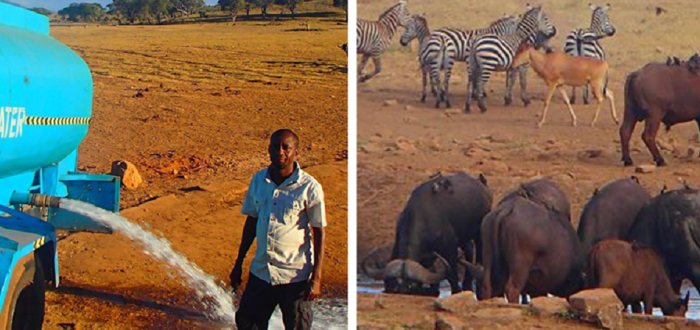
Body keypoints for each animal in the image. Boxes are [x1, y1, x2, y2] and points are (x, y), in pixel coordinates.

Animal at [360, 173, 492, 294]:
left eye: (410, 285)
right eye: (395, 285)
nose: (403, 289)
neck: (423, 218)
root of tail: (482, 185)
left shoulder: (450, 247)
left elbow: (452, 274)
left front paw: (456, 290)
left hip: (478, 232)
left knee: (478, 251)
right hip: (463, 236)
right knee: (469, 249)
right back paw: (467, 284)